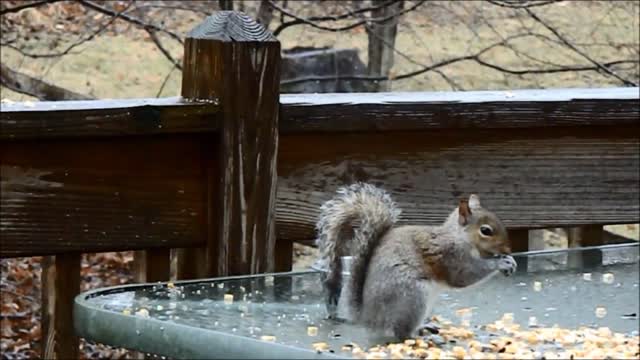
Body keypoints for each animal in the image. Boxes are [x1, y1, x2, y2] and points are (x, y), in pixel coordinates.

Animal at [312, 183, 516, 340]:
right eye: (486, 231)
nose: (508, 250)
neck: (459, 237)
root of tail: (368, 317)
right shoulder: (452, 256)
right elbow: (465, 276)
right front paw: (501, 263)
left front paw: (510, 261)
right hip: (412, 297)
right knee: (400, 332)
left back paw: (425, 328)